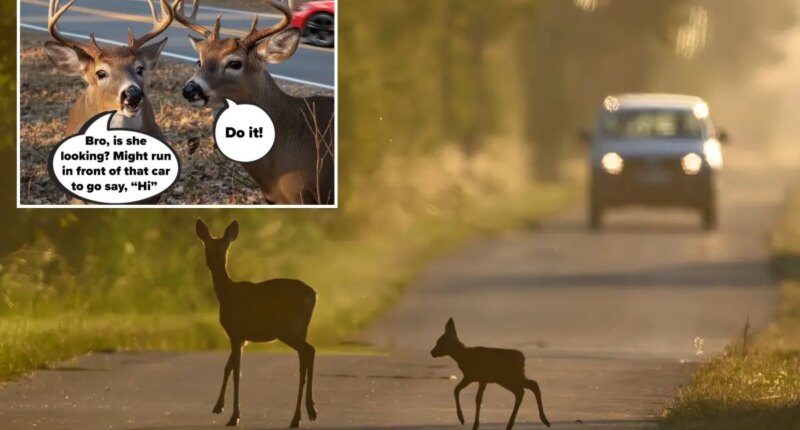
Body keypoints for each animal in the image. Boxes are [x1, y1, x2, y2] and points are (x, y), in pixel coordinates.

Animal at [194, 219, 318, 427]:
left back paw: (301, 416)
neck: (226, 294)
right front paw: (218, 407)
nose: (211, 263)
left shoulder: (235, 332)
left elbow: (237, 372)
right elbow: (228, 367)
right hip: (302, 329)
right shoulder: (242, 338)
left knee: (309, 351)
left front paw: (234, 416)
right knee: (305, 357)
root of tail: (313, 295)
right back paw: (306, 412)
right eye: (208, 247)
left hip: (288, 329)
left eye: (223, 249)